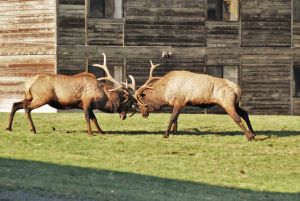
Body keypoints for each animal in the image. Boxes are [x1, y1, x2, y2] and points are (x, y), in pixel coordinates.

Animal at [6, 53, 136, 135]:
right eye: (127, 101)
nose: (124, 116)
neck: (102, 96)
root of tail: (29, 83)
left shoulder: (87, 105)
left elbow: (94, 118)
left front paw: (101, 132)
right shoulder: (86, 101)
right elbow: (88, 117)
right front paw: (90, 133)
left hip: (29, 97)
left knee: (16, 104)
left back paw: (9, 127)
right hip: (42, 98)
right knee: (26, 108)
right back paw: (33, 129)